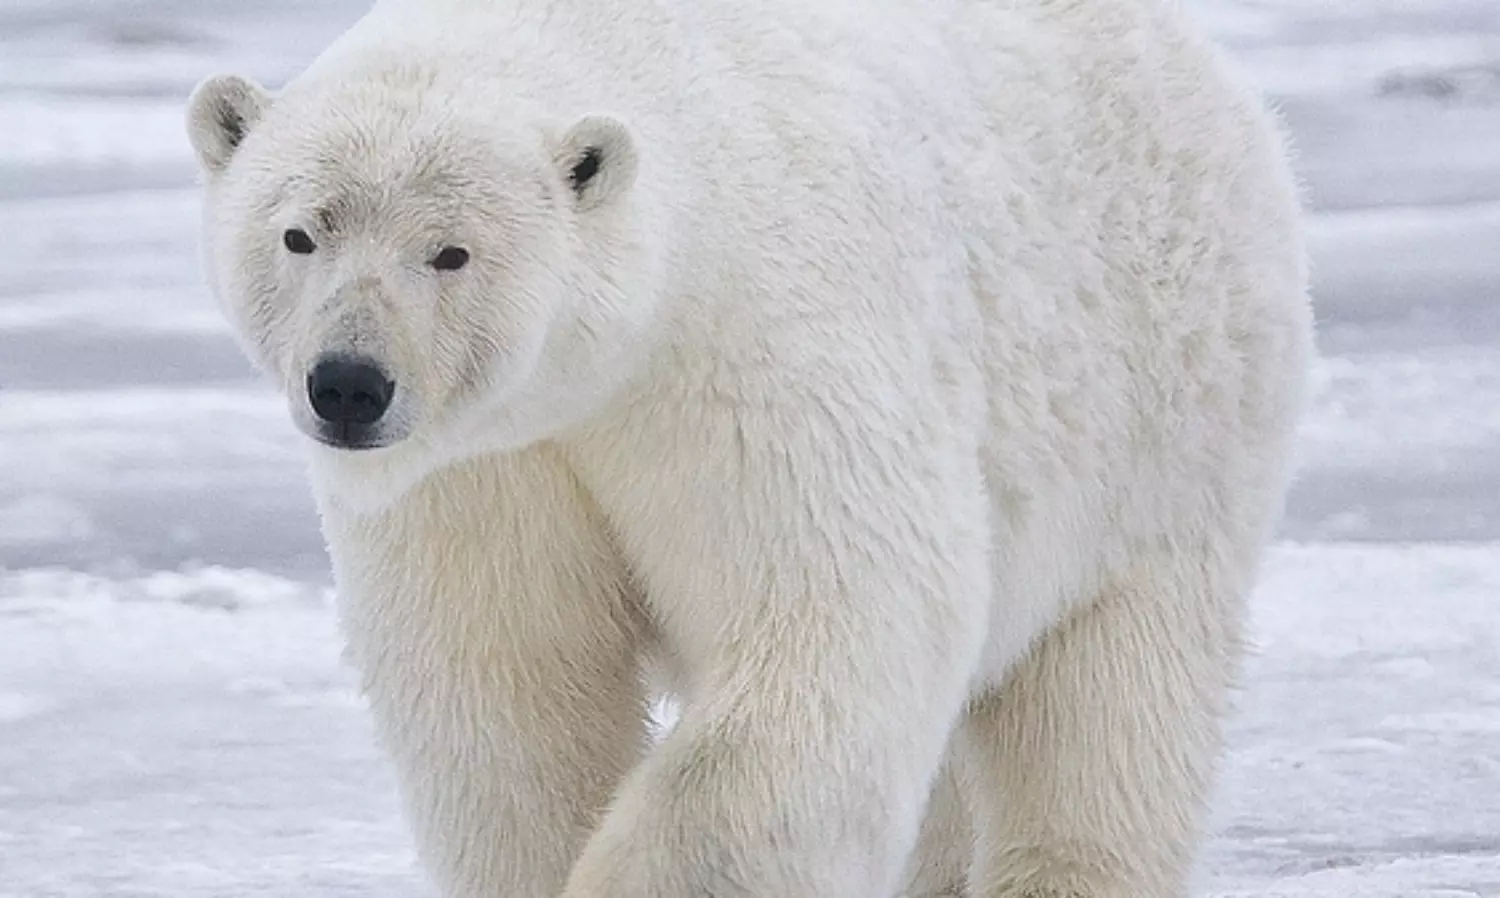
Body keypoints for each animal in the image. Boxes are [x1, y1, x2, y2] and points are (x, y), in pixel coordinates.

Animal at [185, 0, 1313, 895]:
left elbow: (834, 625)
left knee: (1110, 707)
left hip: (1166, 417)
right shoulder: (487, 466)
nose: (349, 384)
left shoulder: (754, 351)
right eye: (300, 232)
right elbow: (507, 687)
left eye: (451, 251)